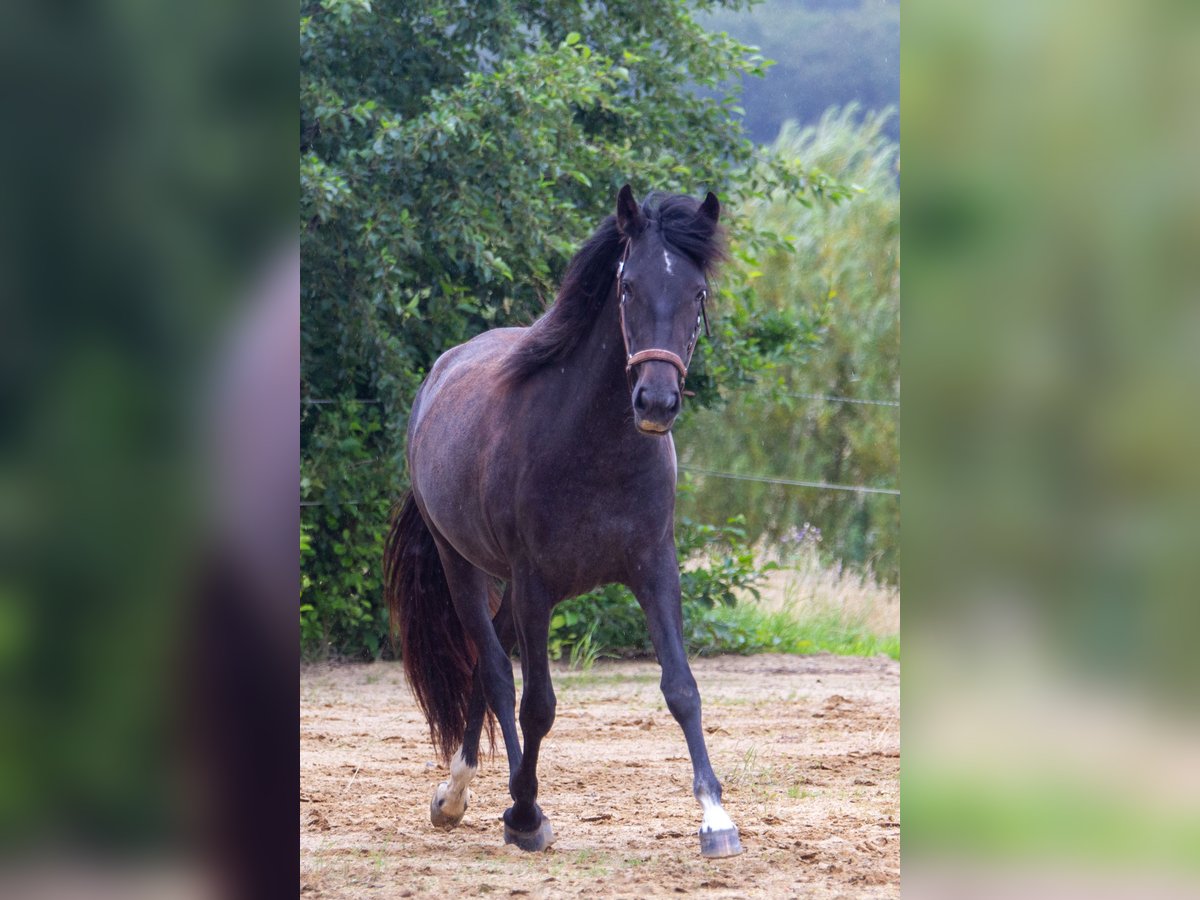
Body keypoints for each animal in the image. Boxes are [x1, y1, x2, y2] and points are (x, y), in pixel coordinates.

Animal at [383, 185, 743, 858]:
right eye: (627, 286)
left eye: (697, 293)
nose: (656, 403)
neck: (592, 449)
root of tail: (438, 375)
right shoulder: (537, 585)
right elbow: (538, 705)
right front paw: (525, 814)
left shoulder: (654, 568)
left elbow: (682, 689)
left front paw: (715, 818)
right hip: (463, 565)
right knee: (496, 672)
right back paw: (493, 802)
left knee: (488, 669)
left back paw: (464, 793)